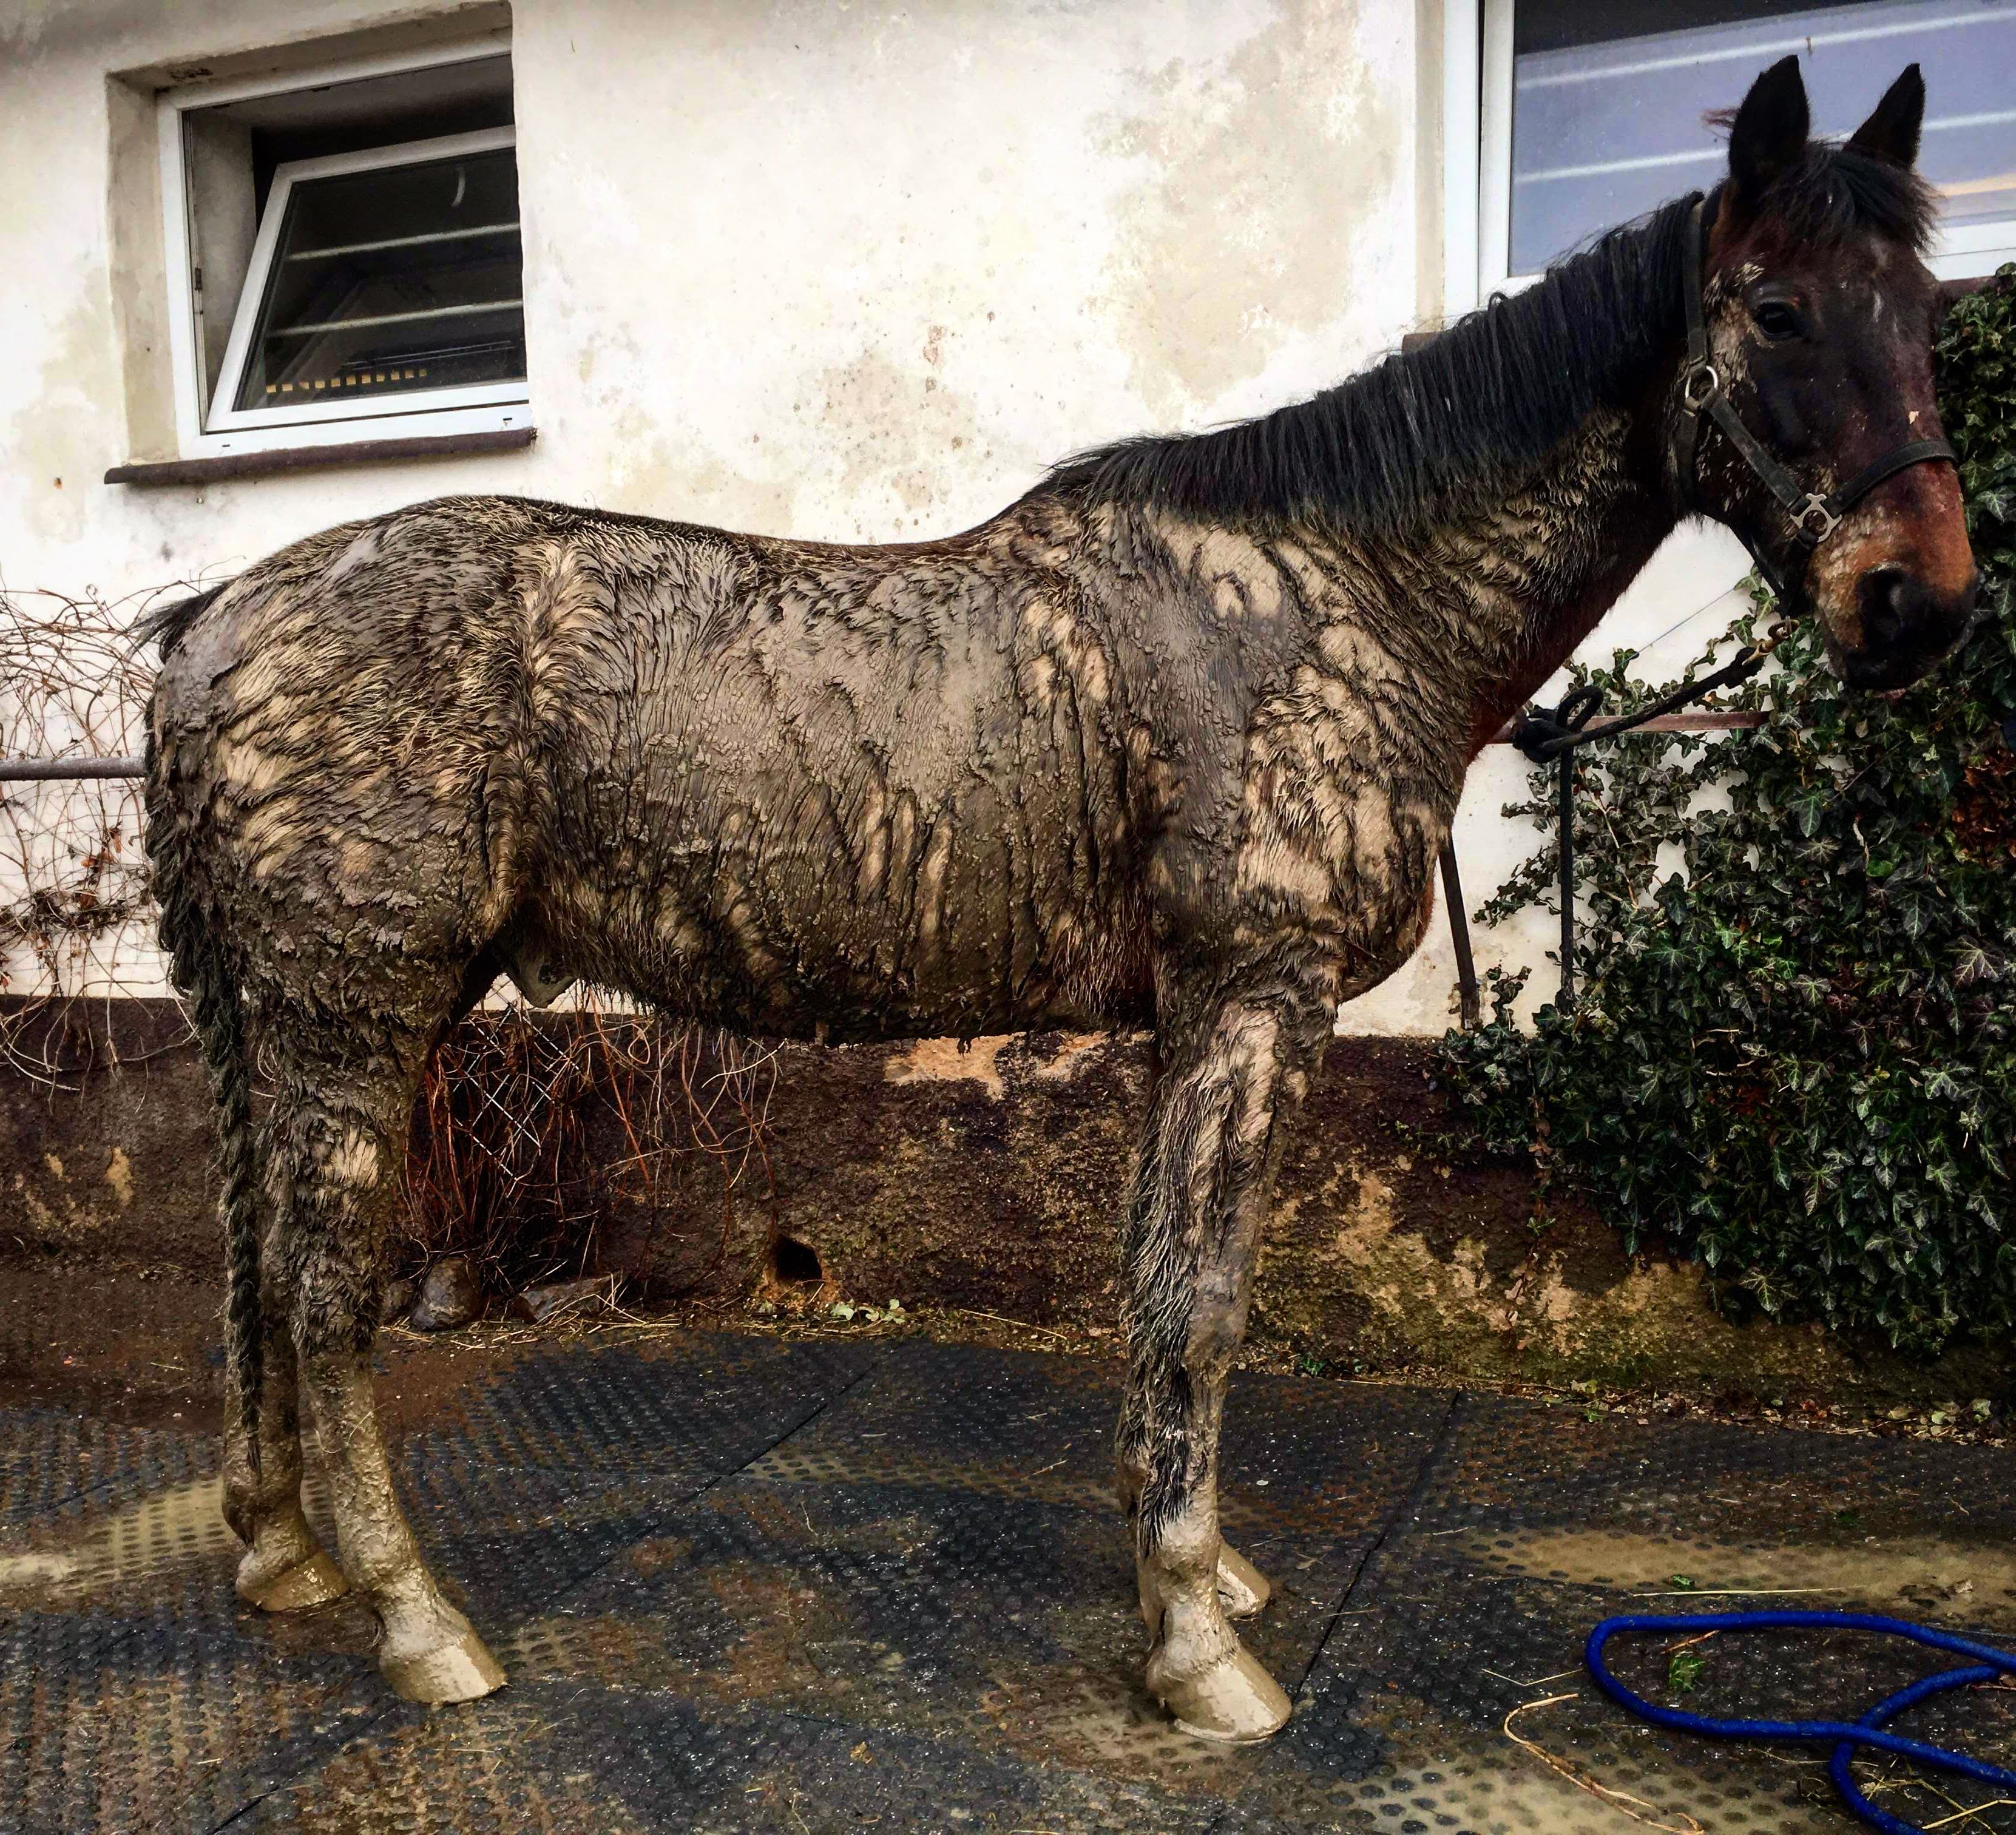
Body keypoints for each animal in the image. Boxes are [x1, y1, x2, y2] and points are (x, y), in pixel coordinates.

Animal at [149, 57, 1975, 1742]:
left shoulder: (1186, 1018)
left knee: (253, 1265)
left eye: (1929, 311)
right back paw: (418, 1621)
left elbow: (1151, 1279)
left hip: (296, 1020)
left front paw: (1191, 1571)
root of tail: (213, 621)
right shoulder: (1253, 996)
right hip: (355, 1012)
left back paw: (285, 1556)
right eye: (1778, 308)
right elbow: (1204, 1302)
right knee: (319, 1294)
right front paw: (1199, 1648)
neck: (1335, 593)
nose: (1919, 604)